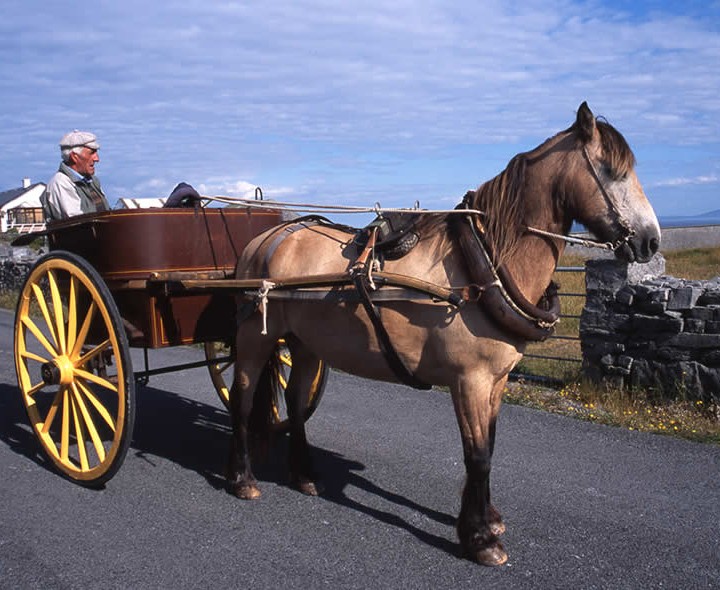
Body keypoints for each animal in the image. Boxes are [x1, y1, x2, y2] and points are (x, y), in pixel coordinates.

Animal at [225, 103, 660, 568]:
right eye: (611, 170)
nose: (651, 241)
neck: (482, 266)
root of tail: (270, 237)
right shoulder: (469, 381)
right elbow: (478, 455)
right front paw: (480, 538)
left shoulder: (496, 380)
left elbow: (489, 445)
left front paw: (487, 518)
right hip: (254, 338)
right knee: (244, 397)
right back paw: (243, 478)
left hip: (306, 344)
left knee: (296, 401)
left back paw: (304, 474)